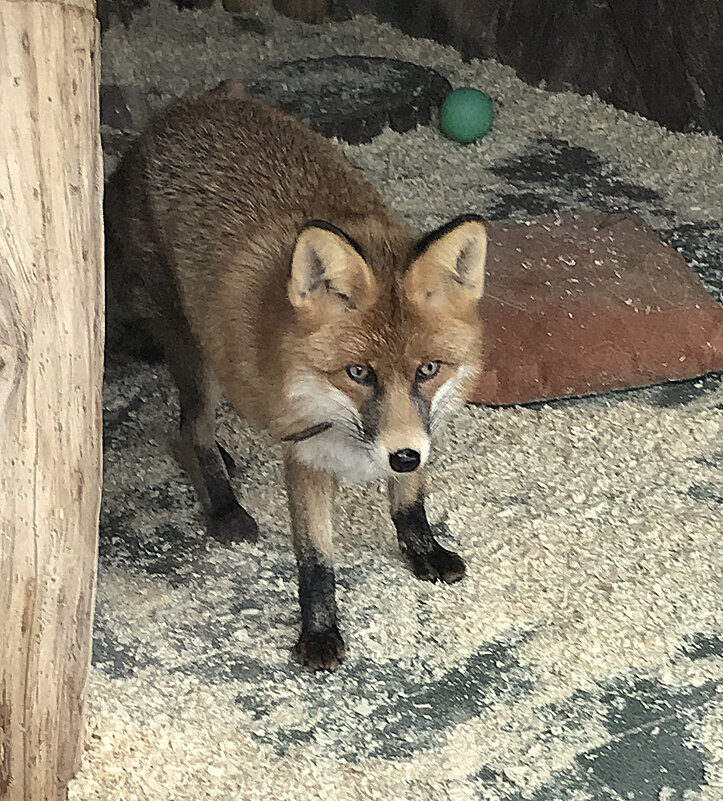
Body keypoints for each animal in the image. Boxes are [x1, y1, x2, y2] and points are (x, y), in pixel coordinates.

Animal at [104, 90, 490, 672]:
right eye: (358, 372)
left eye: (428, 370)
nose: (402, 456)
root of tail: (185, 106)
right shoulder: (303, 455)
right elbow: (315, 561)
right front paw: (319, 632)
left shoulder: (425, 429)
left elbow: (409, 503)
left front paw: (422, 549)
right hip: (196, 354)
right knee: (191, 425)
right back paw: (222, 500)